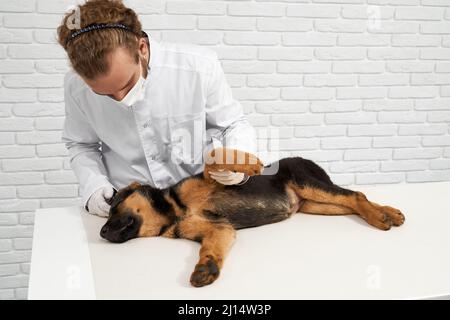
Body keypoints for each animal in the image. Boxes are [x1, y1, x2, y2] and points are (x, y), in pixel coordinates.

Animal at [99, 148, 404, 288]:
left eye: (115, 206)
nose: (101, 233)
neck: (173, 210)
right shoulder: (220, 229)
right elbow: (211, 249)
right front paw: (206, 268)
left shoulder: (210, 180)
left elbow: (214, 157)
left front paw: (251, 162)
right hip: (314, 203)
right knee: (353, 201)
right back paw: (388, 212)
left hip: (307, 182)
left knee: (355, 195)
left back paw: (380, 216)